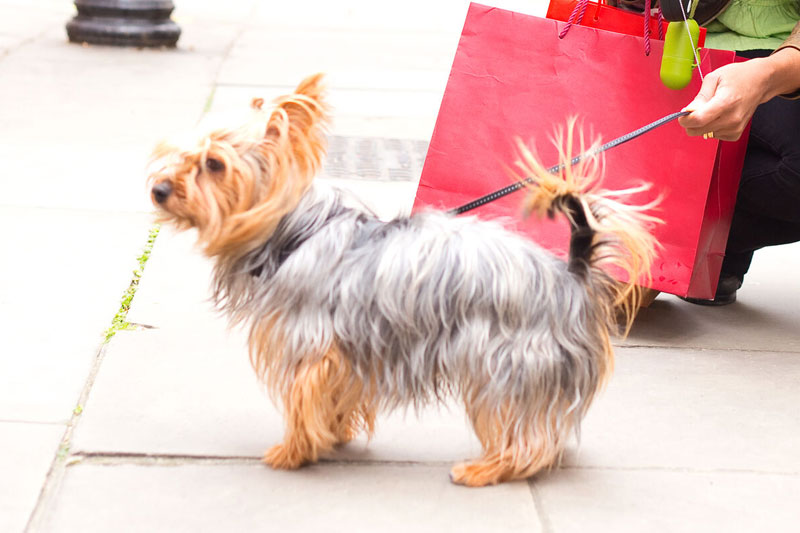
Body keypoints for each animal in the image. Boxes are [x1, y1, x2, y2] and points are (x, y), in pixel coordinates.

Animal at [148, 74, 656, 486]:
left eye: (215, 164)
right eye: (179, 155)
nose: (158, 189)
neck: (296, 230)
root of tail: (570, 273)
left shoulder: (310, 346)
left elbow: (302, 400)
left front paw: (294, 452)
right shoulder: (346, 353)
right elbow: (332, 399)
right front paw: (332, 435)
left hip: (506, 365)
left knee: (523, 435)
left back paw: (485, 469)